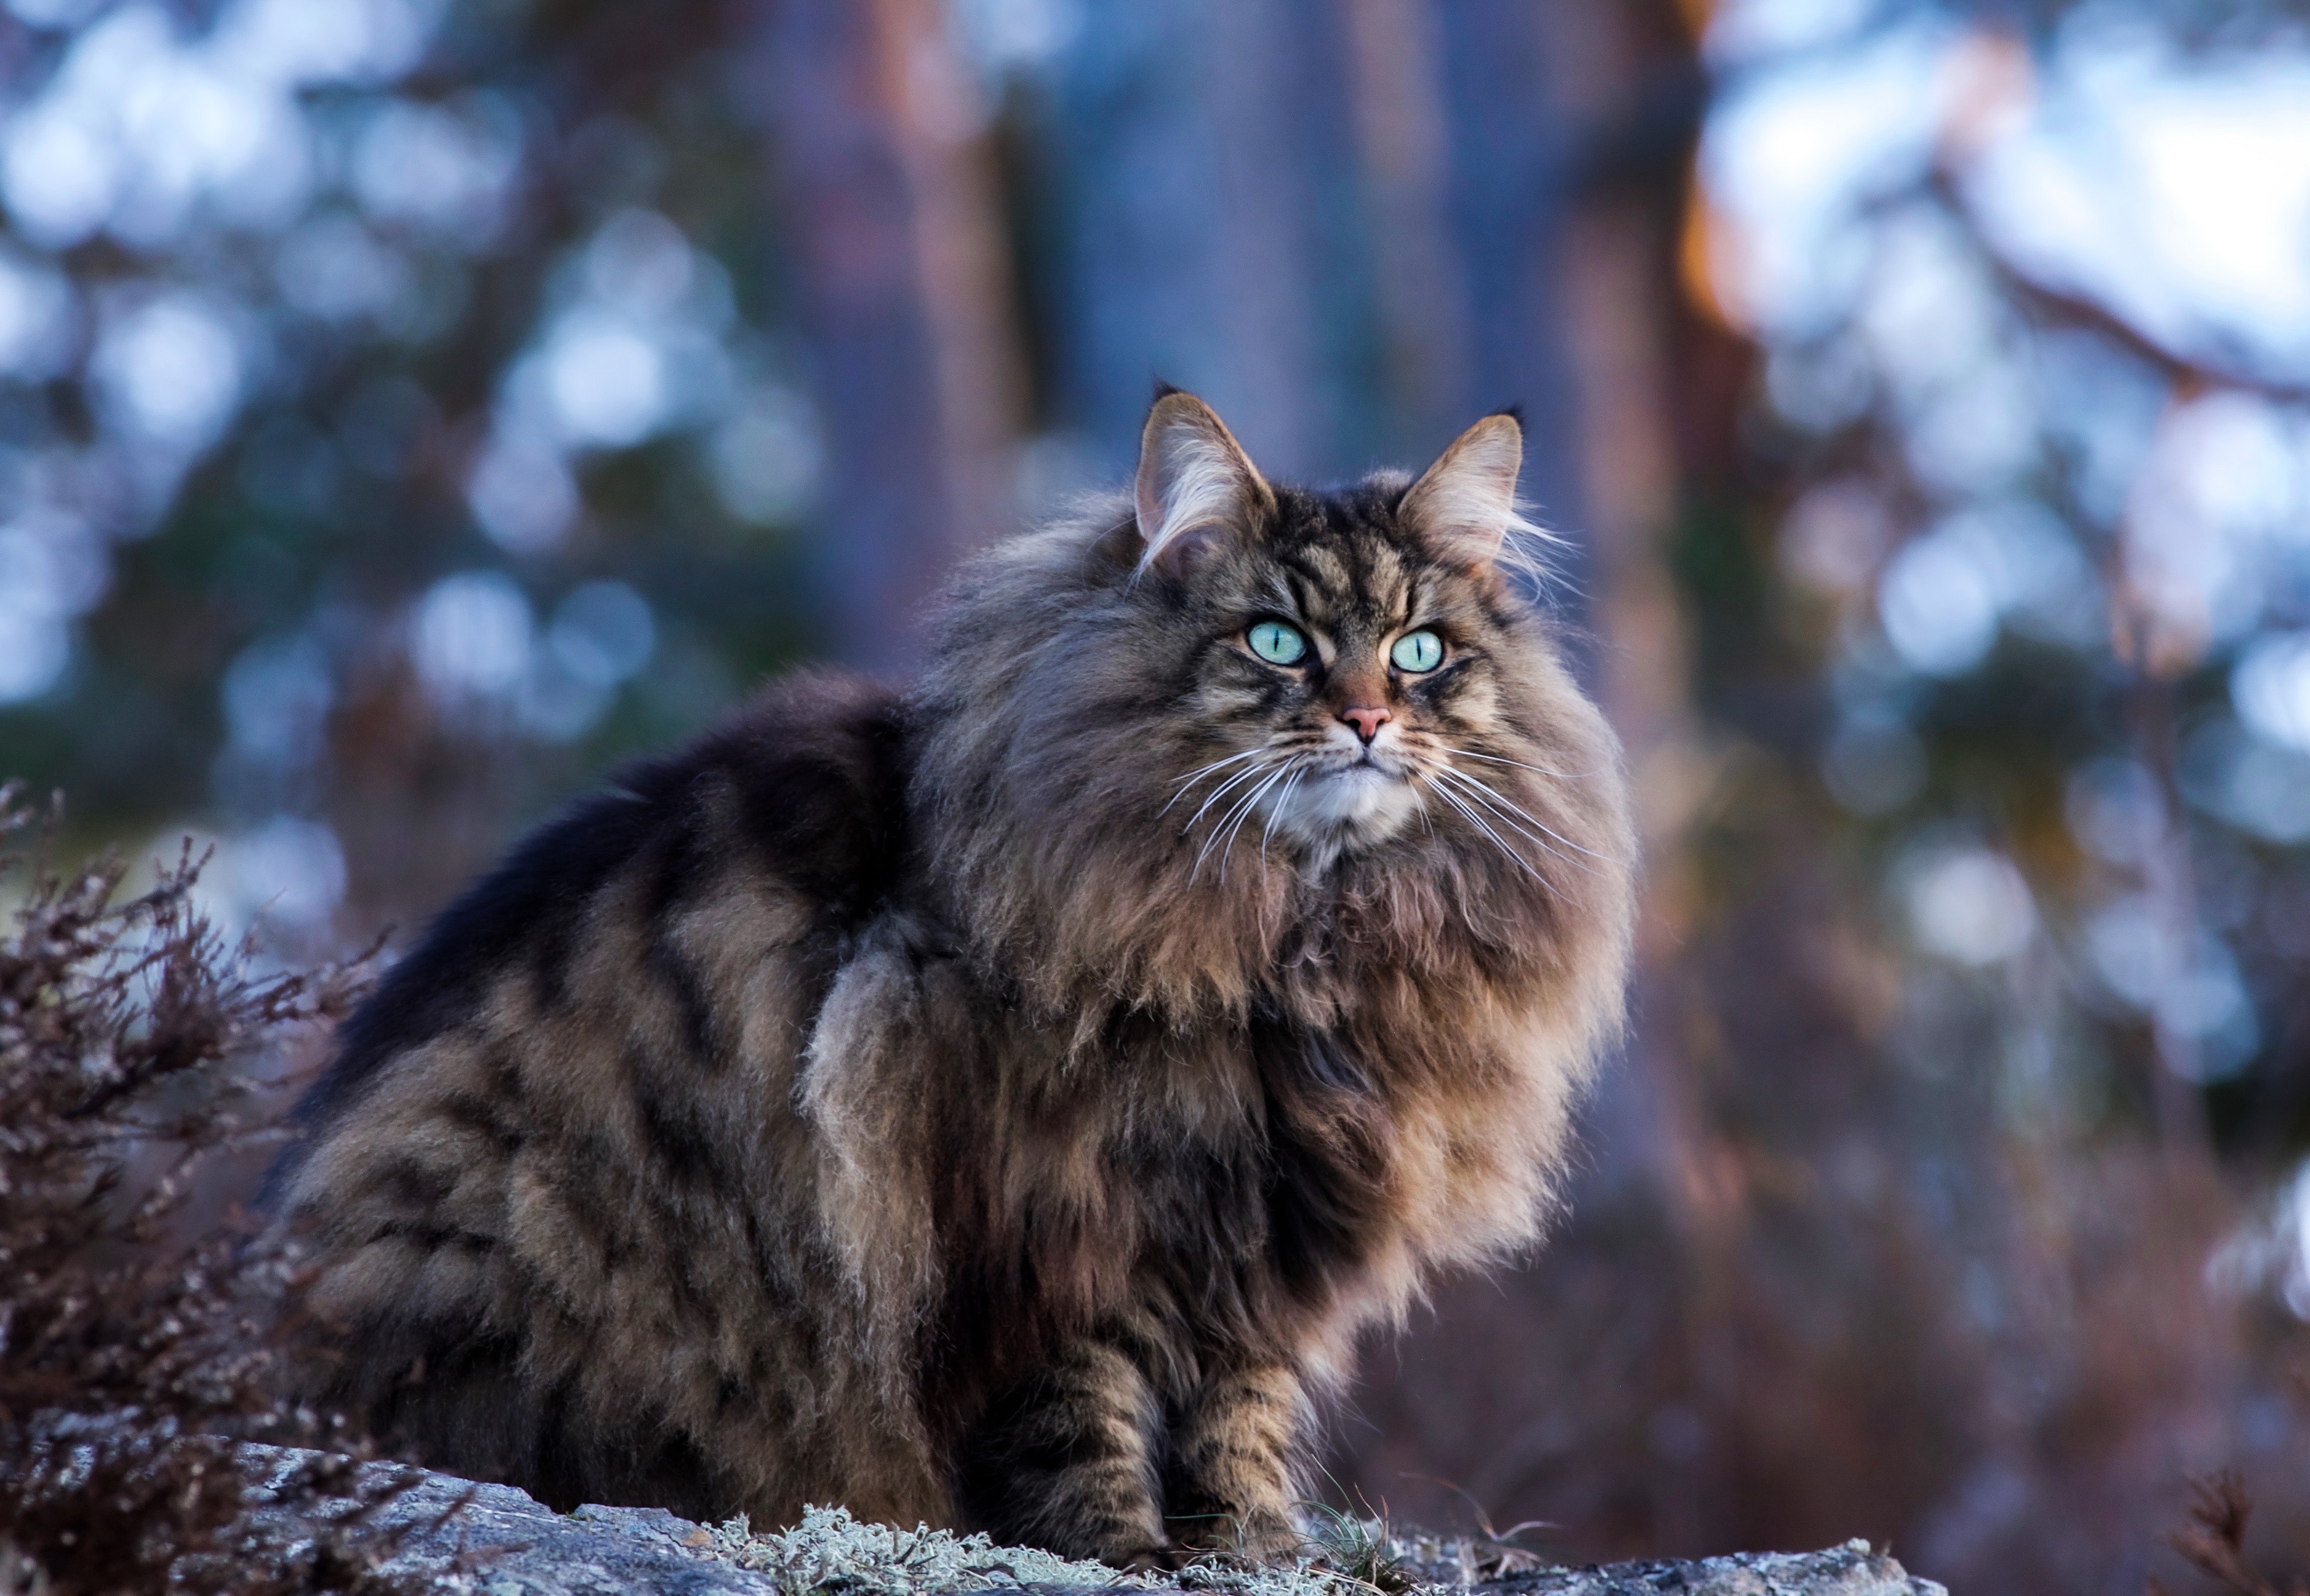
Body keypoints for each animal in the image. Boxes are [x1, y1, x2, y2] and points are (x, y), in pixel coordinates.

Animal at [265, 392, 1645, 1570]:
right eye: (1275, 642)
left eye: (1418, 653)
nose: (1366, 720)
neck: (1293, 941)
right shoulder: (1047, 1218)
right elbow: (1084, 1420)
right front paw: (1122, 1553)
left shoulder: (1252, 1241)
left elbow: (1237, 1422)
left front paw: (1255, 1551)